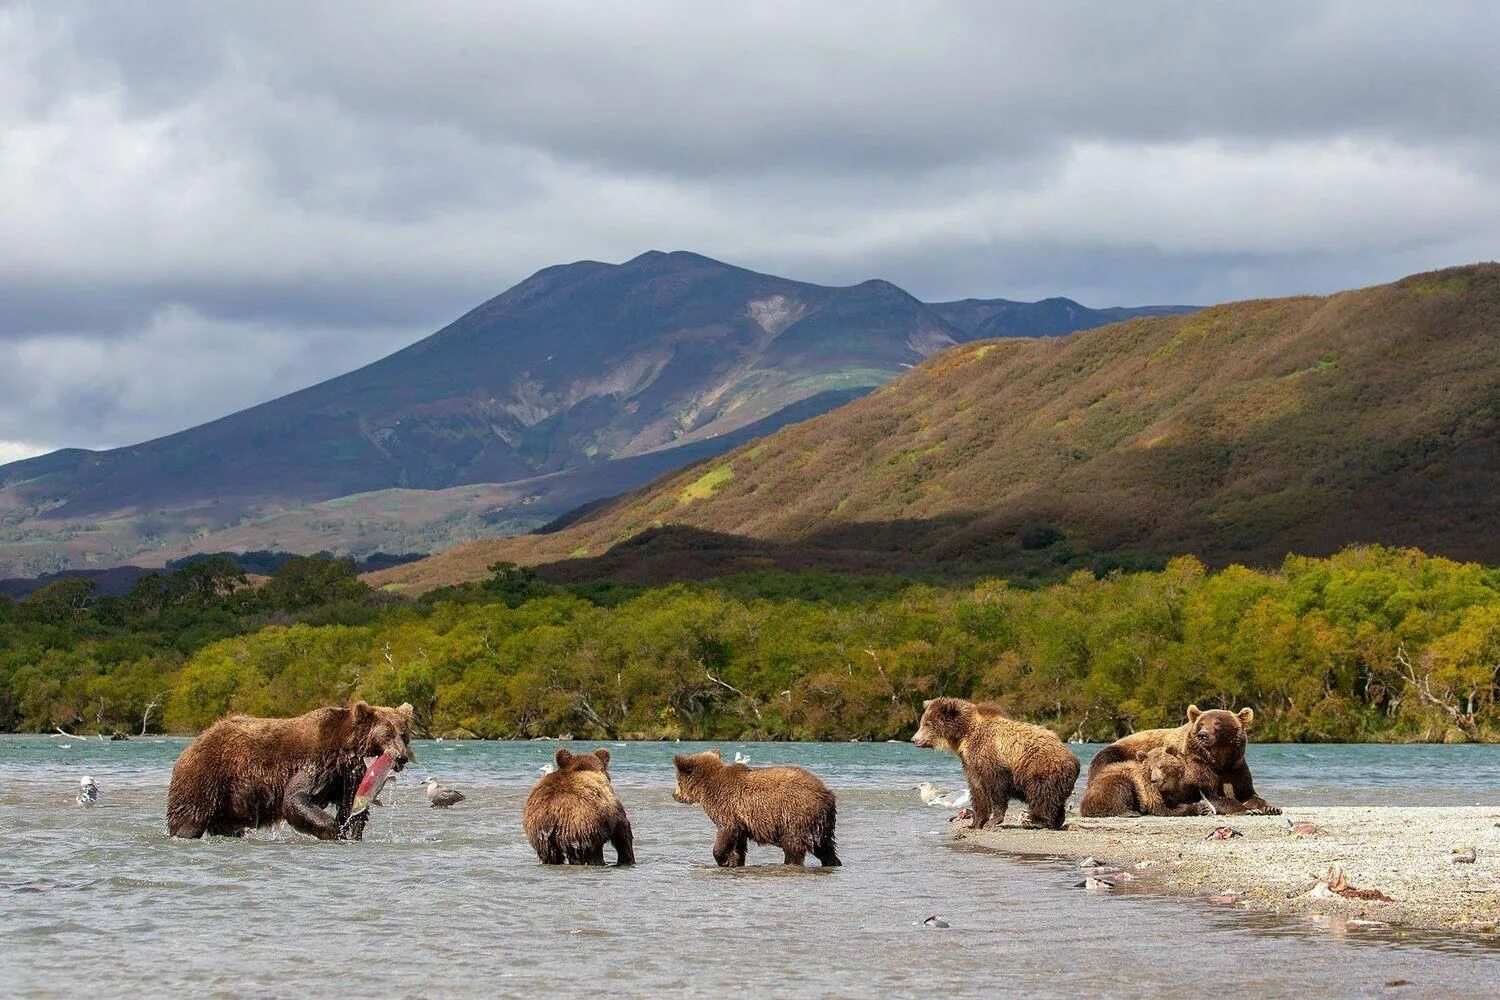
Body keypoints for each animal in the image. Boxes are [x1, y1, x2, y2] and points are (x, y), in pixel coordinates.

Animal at [165, 701, 417, 839]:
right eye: (387, 734)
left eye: (404, 734)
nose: (402, 757)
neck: (346, 749)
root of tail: (192, 744)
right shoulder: (318, 761)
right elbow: (296, 799)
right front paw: (335, 830)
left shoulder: (346, 776)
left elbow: (351, 807)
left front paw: (352, 832)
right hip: (205, 776)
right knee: (190, 817)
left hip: (227, 803)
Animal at [672, 749, 840, 869]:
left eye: (677, 780)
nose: (674, 795)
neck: (706, 787)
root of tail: (826, 794)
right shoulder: (741, 820)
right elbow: (739, 843)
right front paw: (735, 861)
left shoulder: (727, 807)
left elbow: (726, 832)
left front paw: (723, 860)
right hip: (820, 823)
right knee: (824, 846)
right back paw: (833, 862)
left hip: (796, 815)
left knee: (793, 845)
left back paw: (789, 862)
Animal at [900, 695, 1080, 827]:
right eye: (923, 722)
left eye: (927, 723)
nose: (914, 739)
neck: (964, 735)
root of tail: (1074, 758)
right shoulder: (970, 762)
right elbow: (977, 789)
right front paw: (975, 822)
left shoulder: (990, 755)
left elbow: (996, 786)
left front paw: (993, 820)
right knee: (1054, 799)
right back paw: (1056, 821)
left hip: (1040, 767)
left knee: (1042, 794)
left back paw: (1036, 821)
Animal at [1086, 704, 1284, 815]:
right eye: (1201, 723)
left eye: (1217, 723)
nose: (1203, 734)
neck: (1219, 759)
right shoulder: (1196, 767)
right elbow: (1211, 794)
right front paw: (1248, 809)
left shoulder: (1235, 768)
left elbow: (1248, 793)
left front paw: (1270, 807)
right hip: (1115, 757)